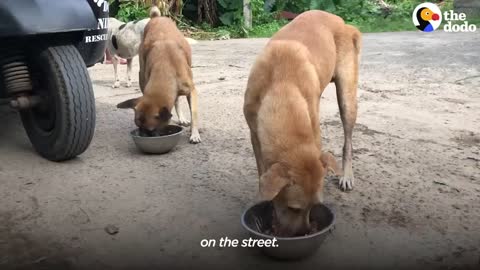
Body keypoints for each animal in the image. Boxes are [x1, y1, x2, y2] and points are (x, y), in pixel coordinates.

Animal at [117, 5, 202, 143]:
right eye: (138, 126)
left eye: (151, 130)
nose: (142, 135)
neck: (165, 70)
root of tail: (157, 18)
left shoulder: (191, 91)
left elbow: (194, 114)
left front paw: (194, 134)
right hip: (142, 75)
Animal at [244, 9, 360, 235]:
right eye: (294, 208)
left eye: (314, 207)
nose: (304, 233)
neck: (282, 85)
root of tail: (340, 21)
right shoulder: (255, 134)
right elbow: (261, 171)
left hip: (347, 98)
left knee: (348, 141)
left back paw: (347, 175)